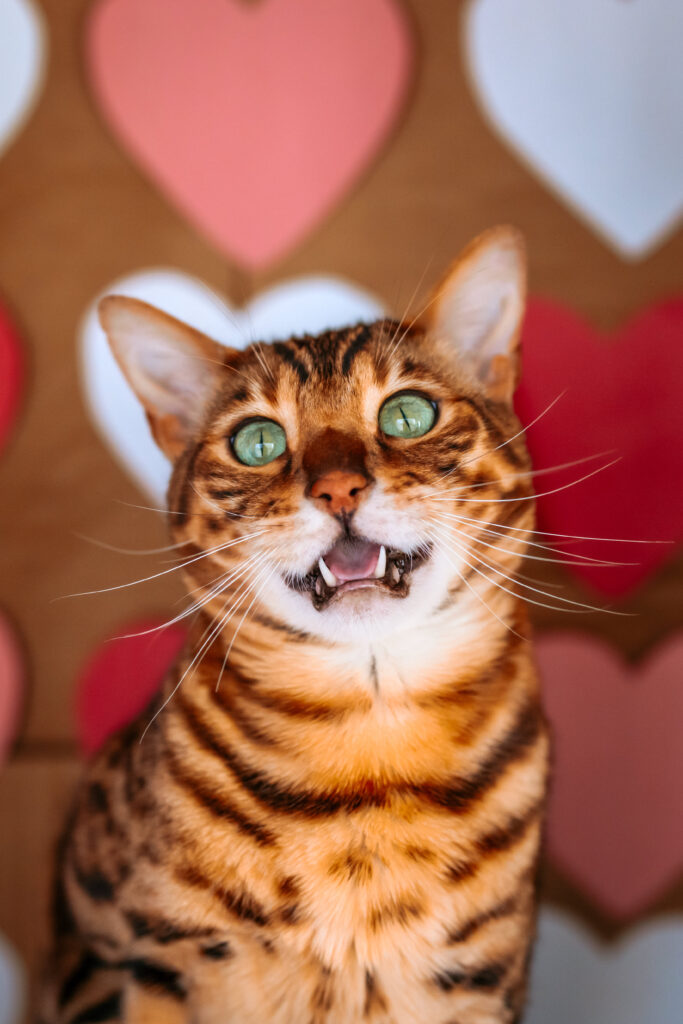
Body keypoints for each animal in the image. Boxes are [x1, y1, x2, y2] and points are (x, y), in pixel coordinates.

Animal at [37, 228, 548, 1019]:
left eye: (407, 415)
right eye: (258, 442)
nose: (338, 488)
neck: (370, 753)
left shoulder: (478, 984)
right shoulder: (140, 961)